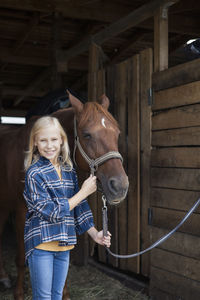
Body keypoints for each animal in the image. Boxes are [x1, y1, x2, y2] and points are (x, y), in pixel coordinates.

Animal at [0, 92, 129, 300]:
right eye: (87, 134)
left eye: (117, 133)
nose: (120, 186)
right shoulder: (21, 214)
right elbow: (21, 258)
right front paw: (18, 293)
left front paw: (64, 293)